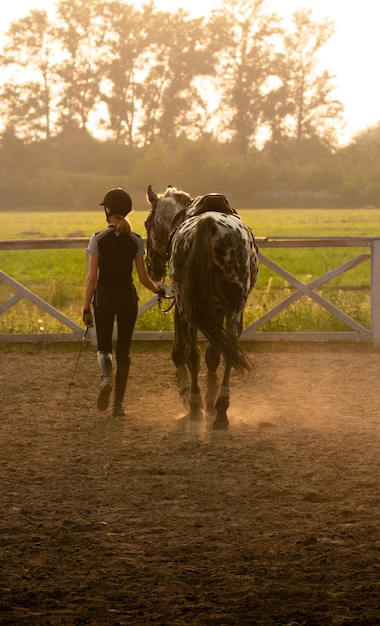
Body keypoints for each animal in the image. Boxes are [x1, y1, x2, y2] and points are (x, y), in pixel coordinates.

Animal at [144, 184, 260, 428]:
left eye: (148, 223)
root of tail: (208, 223)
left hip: (189, 307)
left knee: (192, 355)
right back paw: (222, 408)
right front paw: (211, 400)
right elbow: (214, 355)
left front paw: (190, 396)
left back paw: (196, 405)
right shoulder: (216, 309)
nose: (151, 266)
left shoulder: (181, 308)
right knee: (230, 350)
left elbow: (180, 353)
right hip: (234, 306)